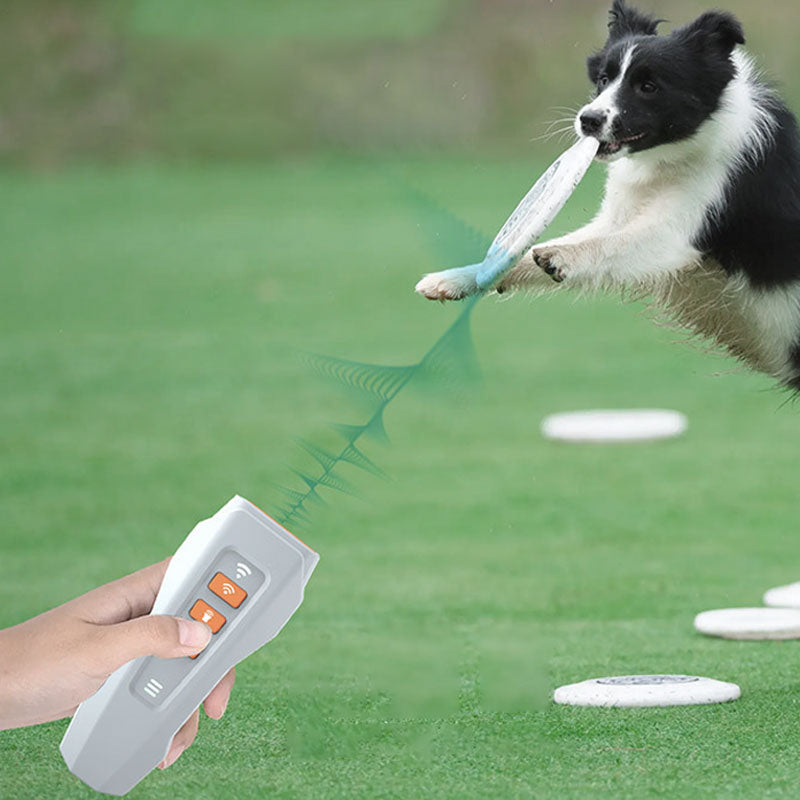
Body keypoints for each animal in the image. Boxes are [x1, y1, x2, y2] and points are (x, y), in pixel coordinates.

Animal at [416, 0, 800, 392]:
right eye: (603, 79)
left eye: (648, 86)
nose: (588, 120)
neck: (681, 149)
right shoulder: (618, 215)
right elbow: (527, 251)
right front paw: (454, 279)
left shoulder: (680, 229)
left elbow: (610, 245)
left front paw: (560, 257)